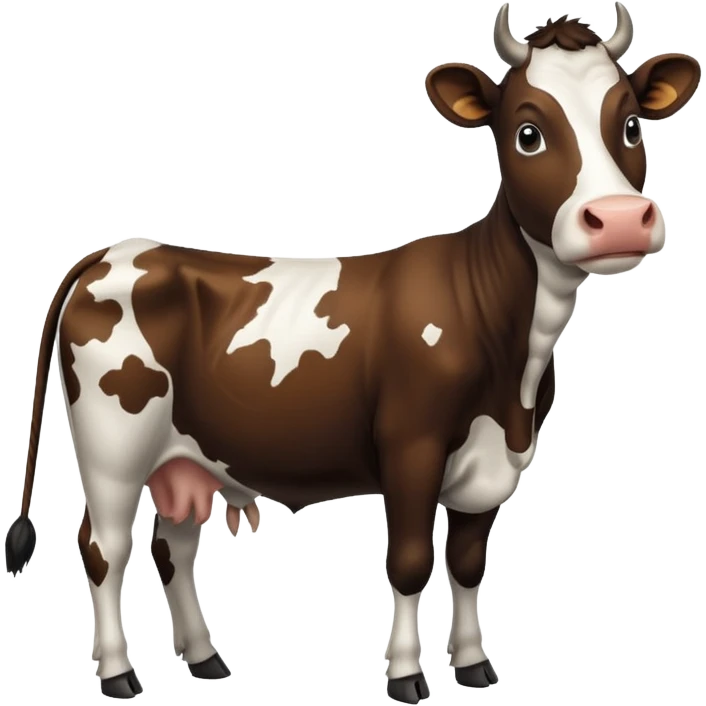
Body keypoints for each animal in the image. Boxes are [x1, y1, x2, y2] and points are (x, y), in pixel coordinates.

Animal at [6, 3, 702, 703]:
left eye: (632, 124)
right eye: (528, 132)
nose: (619, 218)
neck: (515, 372)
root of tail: (116, 250)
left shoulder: (493, 464)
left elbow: (468, 564)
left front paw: (474, 666)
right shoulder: (410, 446)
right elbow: (412, 562)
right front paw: (406, 676)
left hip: (186, 455)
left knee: (171, 545)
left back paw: (207, 660)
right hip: (113, 447)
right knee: (104, 547)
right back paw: (119, 675)